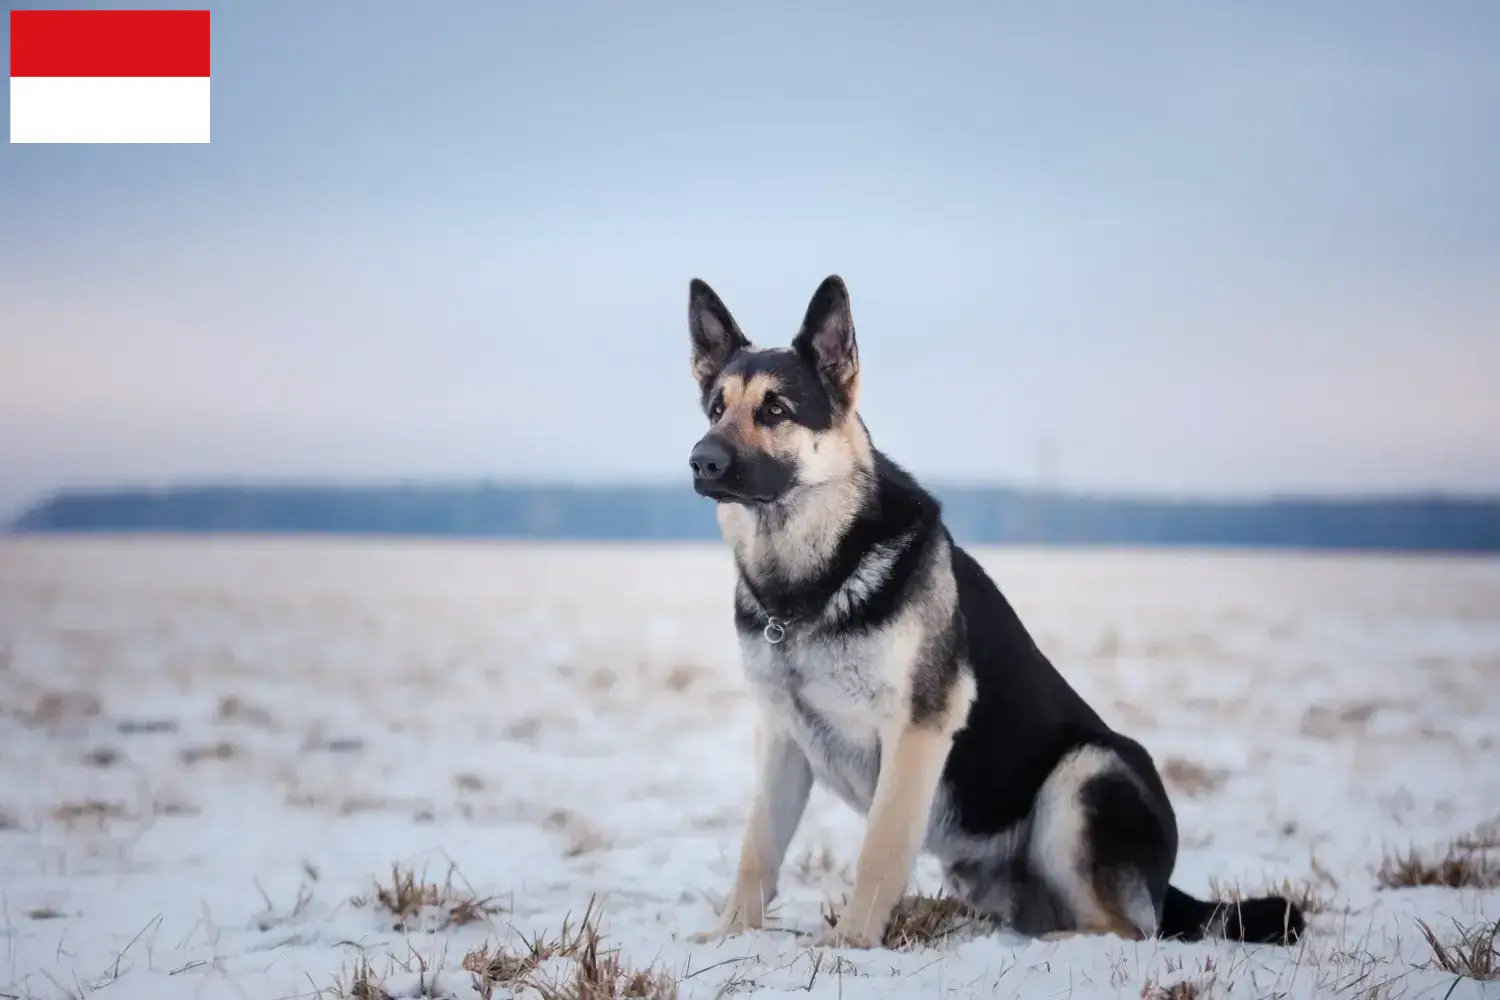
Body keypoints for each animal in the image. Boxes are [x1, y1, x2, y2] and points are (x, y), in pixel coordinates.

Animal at [687, 277, 1308, 953]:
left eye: (775, 410)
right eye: (716, 409)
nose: (702, 461)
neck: (807, 587)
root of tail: (1166, 885)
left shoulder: (918, 729)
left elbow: (880, 851)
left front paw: (850, 945)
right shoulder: (782, 739)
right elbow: (758, 851)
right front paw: (729, 933)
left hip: (1085, 772)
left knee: (1127, 929)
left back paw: (1054, 945)